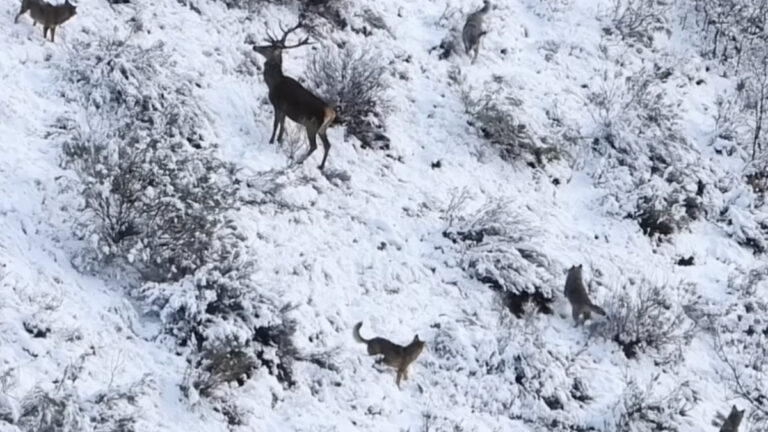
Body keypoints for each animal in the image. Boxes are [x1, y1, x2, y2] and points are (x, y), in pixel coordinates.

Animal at [252, 23, 336, 171]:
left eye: (269, 47)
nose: (255, 46)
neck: (274, 83)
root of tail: (331, 114)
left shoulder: (278, 105)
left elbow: (276, 124)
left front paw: (271, 141)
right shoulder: (285, 111)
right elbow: (282, 125)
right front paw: (279, 141)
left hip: (311, 126)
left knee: (314, 146)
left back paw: (299, 161)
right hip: (323, 129)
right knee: (327, 145)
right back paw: (321, 166)